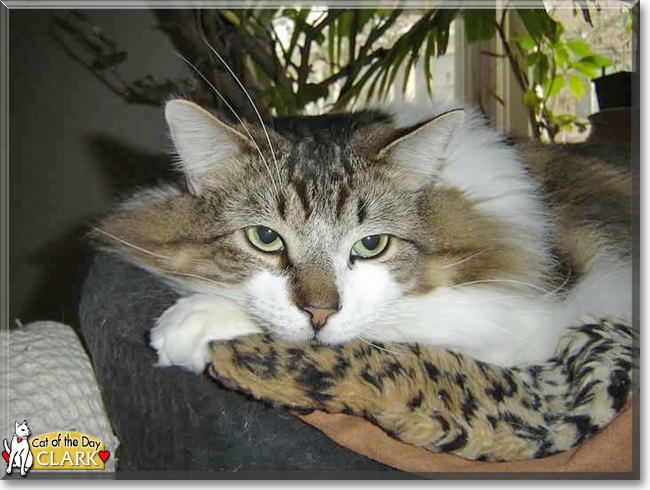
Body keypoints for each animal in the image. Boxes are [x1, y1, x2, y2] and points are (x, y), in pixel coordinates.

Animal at [88, 97, 632, 374]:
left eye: (371, 245)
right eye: (265, 237)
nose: (319, 313)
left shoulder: (524, 318)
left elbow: (390, 319)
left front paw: (191, 321)